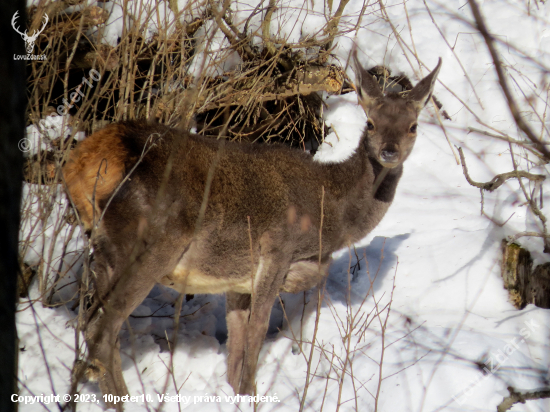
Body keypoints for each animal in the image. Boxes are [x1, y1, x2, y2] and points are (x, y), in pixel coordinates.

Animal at [63, 54, 444, 408]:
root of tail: (85, 161)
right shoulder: (277, 249)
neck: (328, 220)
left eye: (413, 126)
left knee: (94, 327)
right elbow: (257, 331)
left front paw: (236, 394)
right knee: (102, 330)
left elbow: (236, 340)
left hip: (103, 249)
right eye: (371, 122)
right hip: (152, 243)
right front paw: (251, 395)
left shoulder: (237, 277)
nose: (389, 151)